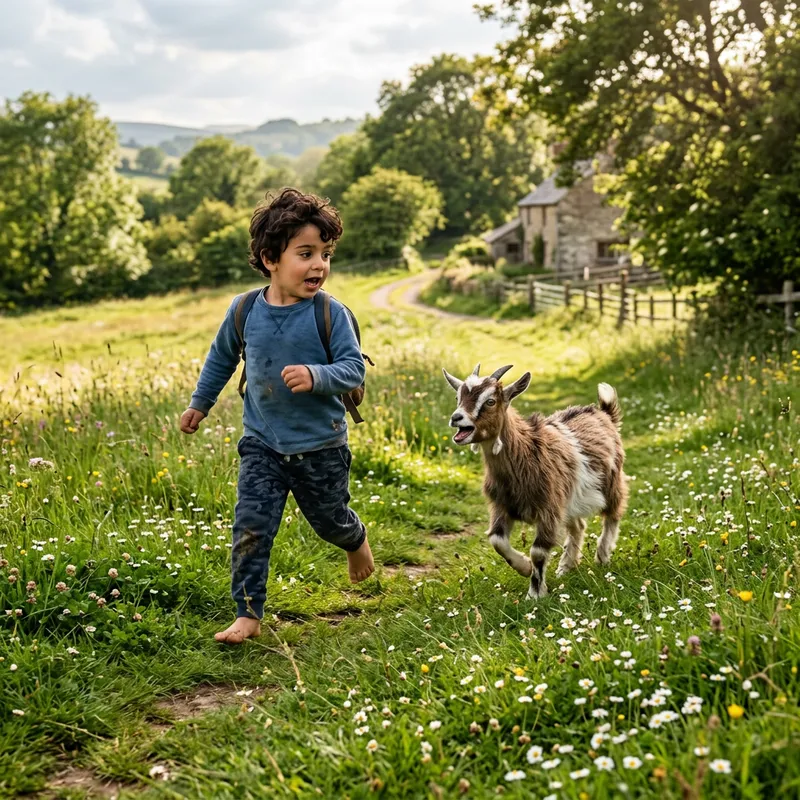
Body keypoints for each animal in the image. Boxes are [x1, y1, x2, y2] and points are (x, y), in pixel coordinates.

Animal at [442, 364, 628, 599]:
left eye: (490, 401)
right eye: (458, 397)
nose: (456, 418)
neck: (526, 453)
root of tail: (604, 413)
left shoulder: (548, 508)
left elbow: (538, 551)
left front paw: (535, 593)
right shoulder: (502, 505)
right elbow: (497, 540)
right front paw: (524, 567)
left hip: (611, 482)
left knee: (613, 514)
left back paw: (602, 556)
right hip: (569, 499)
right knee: (578, 525)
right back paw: (565, 566)